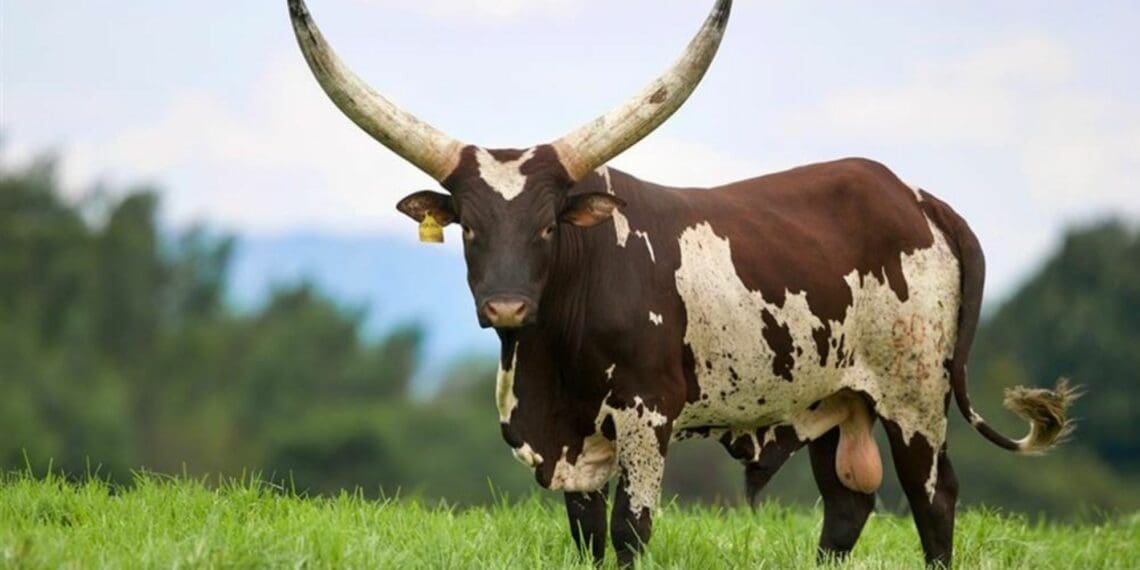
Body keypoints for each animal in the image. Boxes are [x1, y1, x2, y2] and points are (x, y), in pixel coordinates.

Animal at [287, 0, 1078, 566]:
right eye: (470, 228)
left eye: (547, 228)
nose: (506, 305)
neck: (549, 363)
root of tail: (917, 196)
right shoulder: (575, 441)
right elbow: (587, 535)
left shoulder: (646, 415)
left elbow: (631, 531)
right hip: (833, 399)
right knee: (848, 504)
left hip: (912, 392)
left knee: (933, 498)